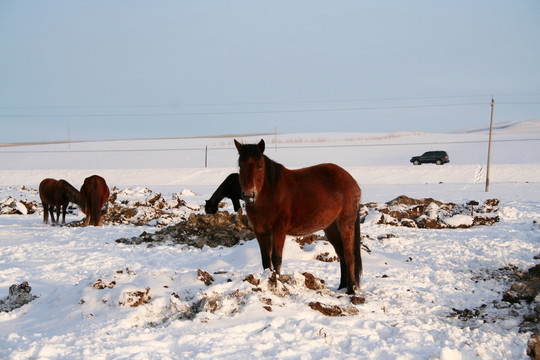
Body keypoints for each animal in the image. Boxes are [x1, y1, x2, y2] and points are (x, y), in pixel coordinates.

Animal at [235, 139, 362, 294]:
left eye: (260, 166)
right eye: (240, 165)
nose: (248, 195)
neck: (270, 195)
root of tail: (351, 180)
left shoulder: (279, 230)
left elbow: (276, 258)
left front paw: (277, 282)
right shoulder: (260, 232)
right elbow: (266, 260)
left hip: (346, 222)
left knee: (349, 255)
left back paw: (350, 290)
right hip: (331, 228)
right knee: (342, 255)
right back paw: (341, 287)